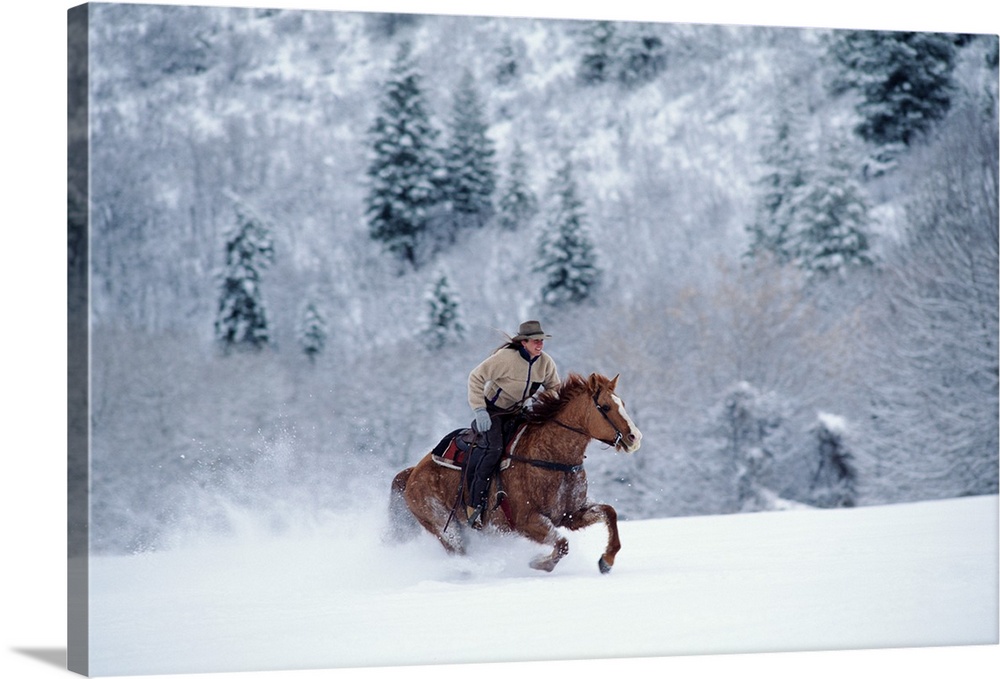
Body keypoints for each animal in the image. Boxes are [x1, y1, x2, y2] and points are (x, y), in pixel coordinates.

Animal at [386, 372, 644, 572]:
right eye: (606, 407)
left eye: (622, 403)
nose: (635, 437)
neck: (551, 457)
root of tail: (411, 473)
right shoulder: (527, 521)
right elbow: (562, 544)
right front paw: (539, 563)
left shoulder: (570, 515)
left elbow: (609, 512)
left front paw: (607, 560)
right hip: (442, 526)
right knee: (459, 553)